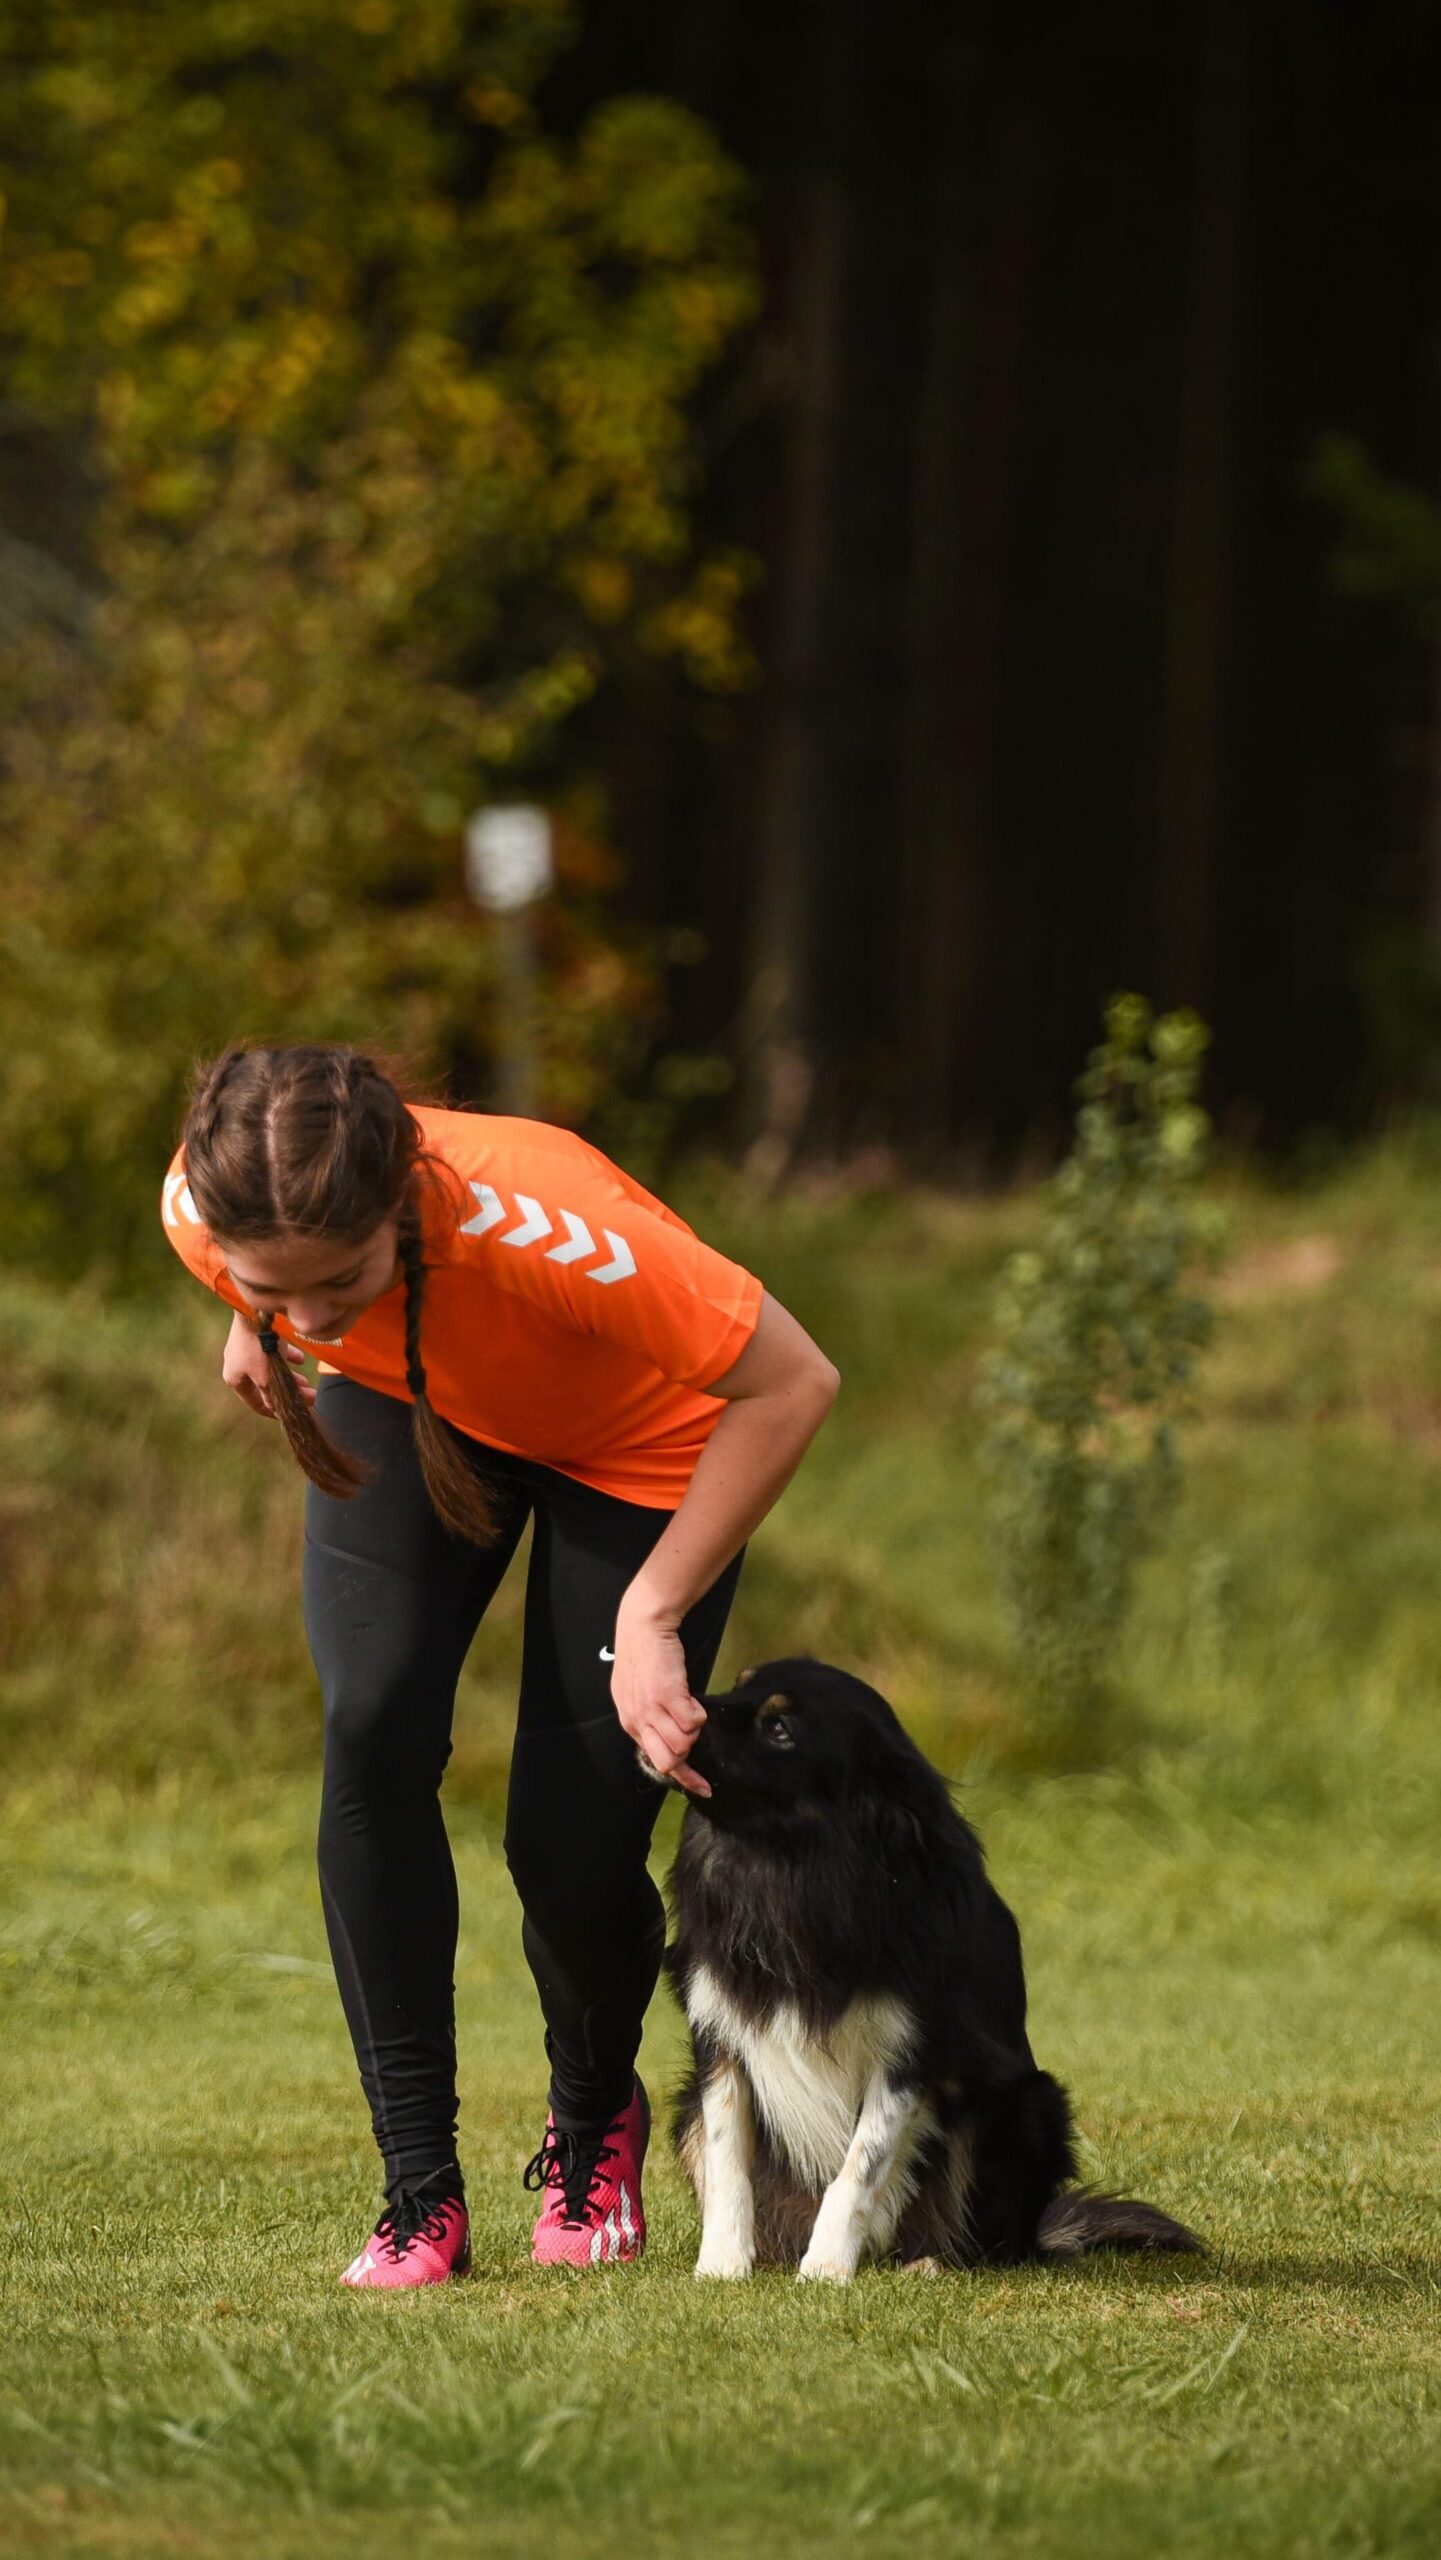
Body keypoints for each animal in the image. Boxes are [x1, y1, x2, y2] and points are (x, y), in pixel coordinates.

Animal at [660, 1658, 1202, 2283]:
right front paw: (721, 2267)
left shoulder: (911, 2052)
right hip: (683, 2107)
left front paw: (826, 2267)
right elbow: (728, 2159)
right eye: (738, 1682)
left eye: (779, 1728)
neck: (791, 1867)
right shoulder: (720, 2035)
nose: (676, 1713)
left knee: (987, 2246)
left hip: (1024, 2107)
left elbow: (860, 2167)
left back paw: (927, 2262)